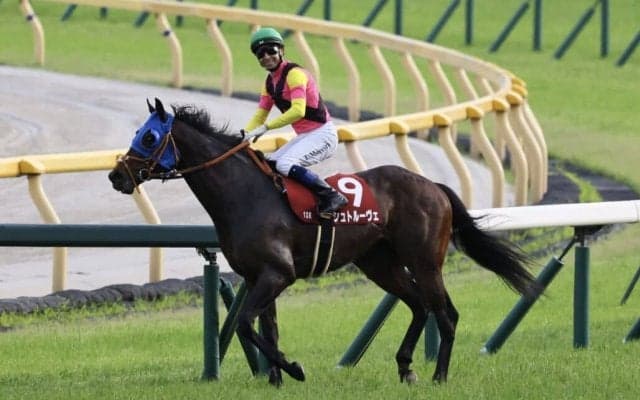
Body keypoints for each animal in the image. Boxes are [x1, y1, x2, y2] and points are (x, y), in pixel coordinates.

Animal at [108, 98, 539, 386]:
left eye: (149, 136)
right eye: (137, 134)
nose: (117, 176)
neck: (245, 194)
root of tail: (433, 185)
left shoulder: (277, 274)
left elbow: (246, 324)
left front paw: (294, 369)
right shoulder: (257, 276)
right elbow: (265, 328)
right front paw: (276, 381)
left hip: (424, 260)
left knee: (445, 314)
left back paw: (439, 376)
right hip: (379, 263)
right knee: (419, 305)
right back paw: (406, 368)